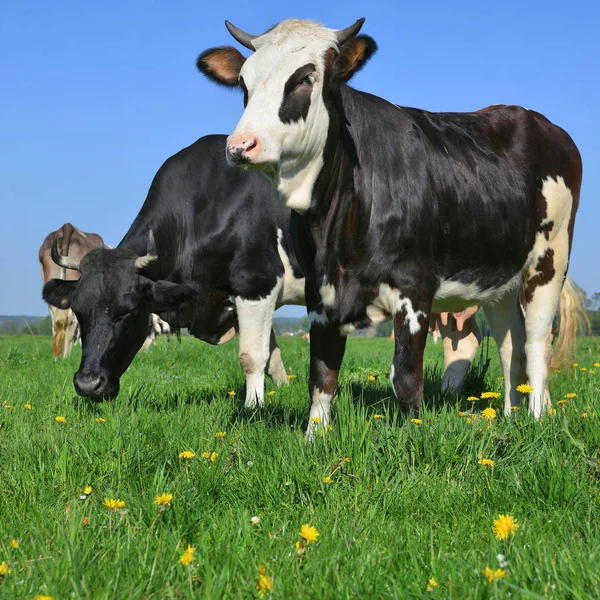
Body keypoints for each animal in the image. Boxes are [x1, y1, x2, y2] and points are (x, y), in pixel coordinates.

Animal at [199, 16, 584, 434]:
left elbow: (405, 377)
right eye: (244, 82)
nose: (240, 146)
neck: (337, 222)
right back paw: (512, 418)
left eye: (304, 78)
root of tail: (537, 121)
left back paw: (537, 416)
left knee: (536, 343)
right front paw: (313, 437)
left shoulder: (414, 289)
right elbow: (321, 376)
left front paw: (414, 433)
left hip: (550, 258)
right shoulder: (320, 291)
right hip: (500, 278)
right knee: (510, 346)